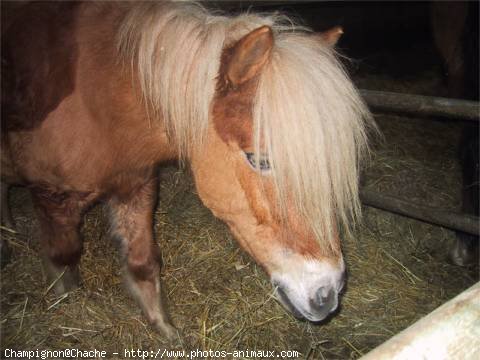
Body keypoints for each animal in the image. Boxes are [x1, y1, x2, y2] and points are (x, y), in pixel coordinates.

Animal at [0, 0, 372, 340]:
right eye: (259, 160)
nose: (327, 293)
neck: (98, 101)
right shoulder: (51, 196)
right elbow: (63, 258)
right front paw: (66, 304)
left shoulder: (136, 186)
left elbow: (143, 263)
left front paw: (167, 332)